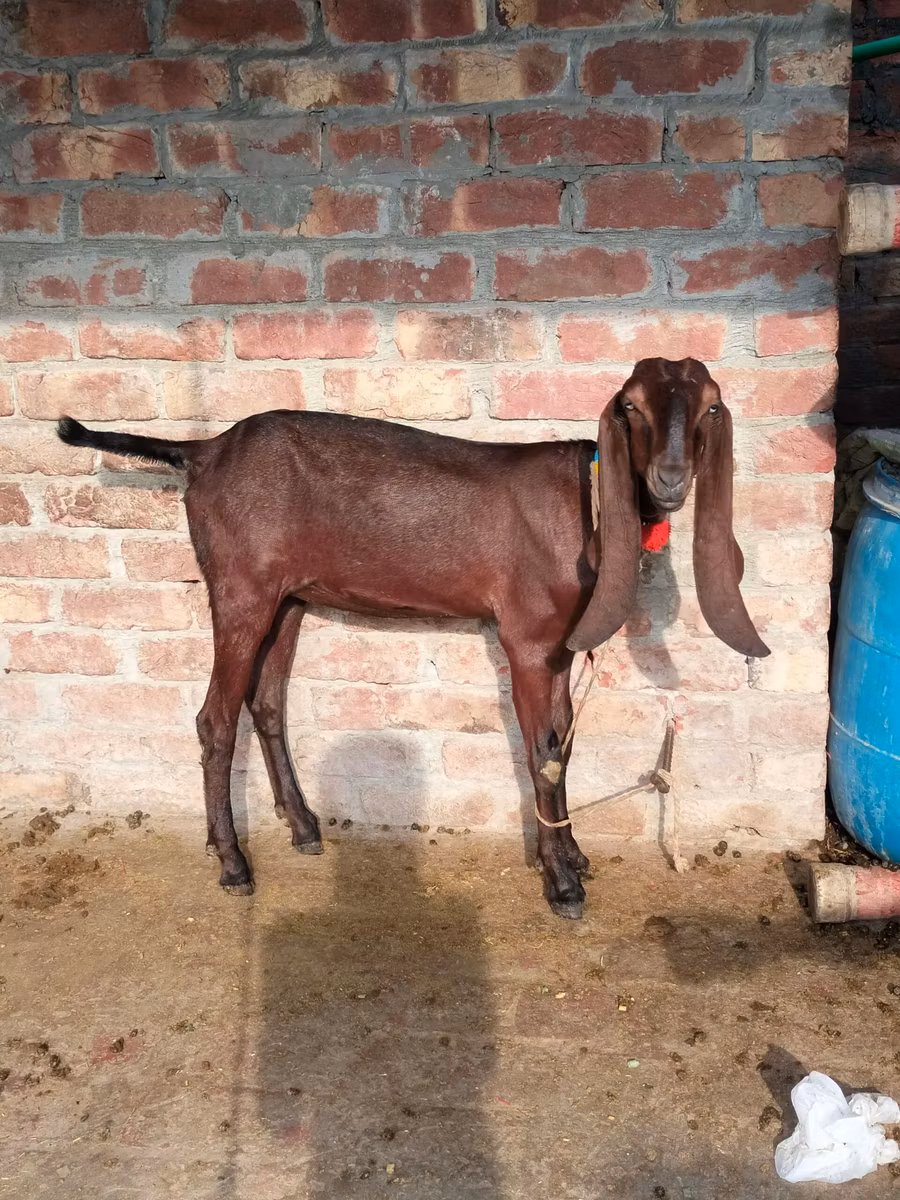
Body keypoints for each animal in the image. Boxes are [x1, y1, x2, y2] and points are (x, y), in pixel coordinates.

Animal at [57, 356, 768, 919]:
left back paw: (305, 827)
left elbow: (564, 742)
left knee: (267, 701)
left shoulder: (561, 642)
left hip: (287, 595)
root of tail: (203, 452)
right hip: (239, 584)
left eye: (710, 405)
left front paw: (573, 854)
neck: (583, 503)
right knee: (215, 718)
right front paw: (562, 882)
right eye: (630, 406)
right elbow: (542, 751)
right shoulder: (526, 634)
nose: (670, 480)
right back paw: (233, 862)